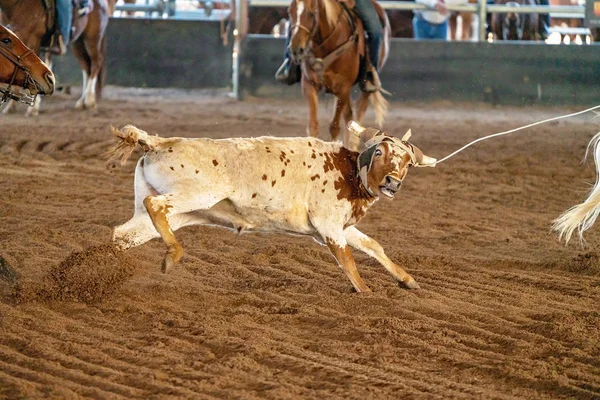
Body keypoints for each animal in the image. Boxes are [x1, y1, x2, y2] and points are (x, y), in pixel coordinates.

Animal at [108, 120, 436, 292]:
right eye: (379, 152)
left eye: (408, 163)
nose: (393, 182)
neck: (349, 171)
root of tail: (159, 142)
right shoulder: (328, 226)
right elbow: (347, 260)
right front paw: (366, 292)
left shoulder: (338, 226)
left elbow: (373, 246)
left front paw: (407, 280)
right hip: (197, 193)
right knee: (155, 205)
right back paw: (173, 254)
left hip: (170, 214)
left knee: (122, 234)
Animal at [288, 0, 392, 142]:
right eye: (290, 12)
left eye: (310, 14)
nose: (296, 49)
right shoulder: (309, 85)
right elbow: (313, 125)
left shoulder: (343, 88)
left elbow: (334, 127)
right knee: (349, 115)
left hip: (365, 87)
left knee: (359, 112)